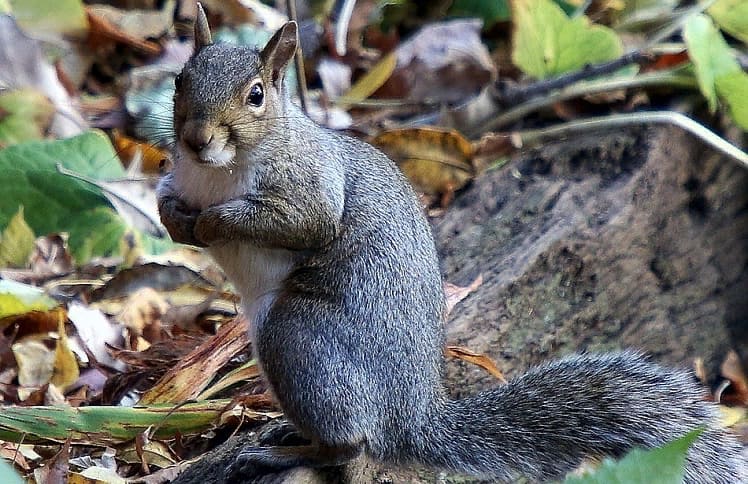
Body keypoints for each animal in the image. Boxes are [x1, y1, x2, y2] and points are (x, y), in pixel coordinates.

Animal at [157, 6, 746, 483]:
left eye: (256, 96)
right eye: (180, 80)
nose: (195, 139)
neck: (218, 171)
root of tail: (412, 418)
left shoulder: (312, 182)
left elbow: (306, 221)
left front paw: (214, 223)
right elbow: (168, 199)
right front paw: (178, 220)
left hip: (299, 340)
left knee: (353, 448)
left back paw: (286, 452)